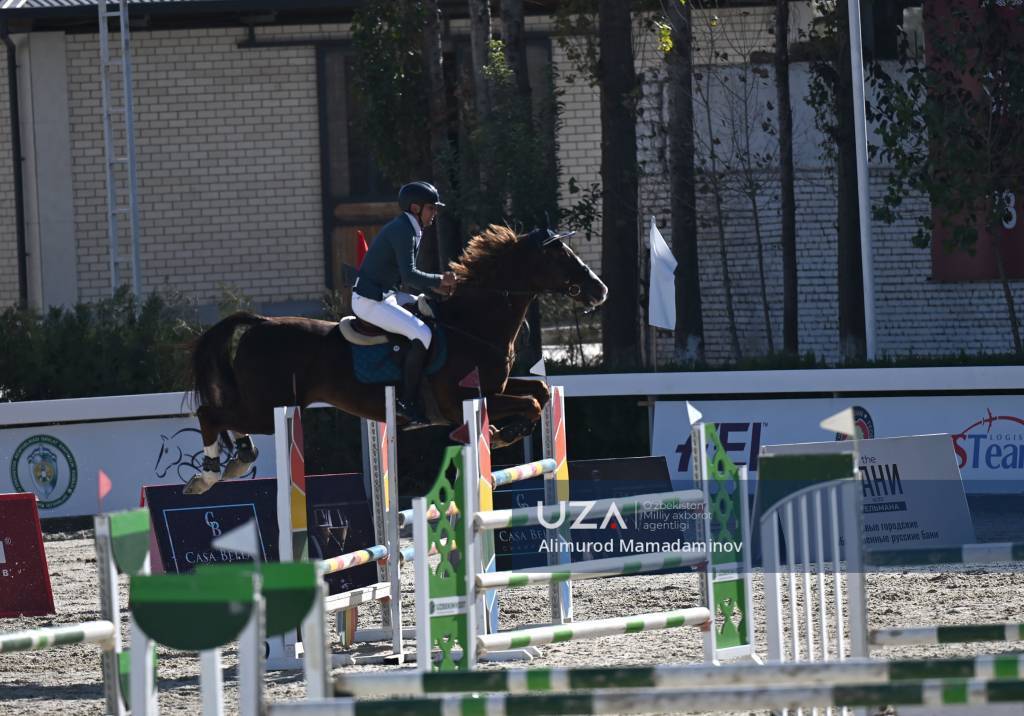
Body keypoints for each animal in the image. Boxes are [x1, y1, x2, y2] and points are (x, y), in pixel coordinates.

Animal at [184, 224, 607, 495]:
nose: (599, 289)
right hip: (268, 407)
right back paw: (208, 476)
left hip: (265, 405)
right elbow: (532, 402)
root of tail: (258, 323)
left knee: (227, 419)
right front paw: (502, 434)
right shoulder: (464, 400)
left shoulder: (495, 387)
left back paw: (239, 458)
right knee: (210, 414)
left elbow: (539, 390)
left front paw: (505, 432)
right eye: (560, 257)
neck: (471, 323)